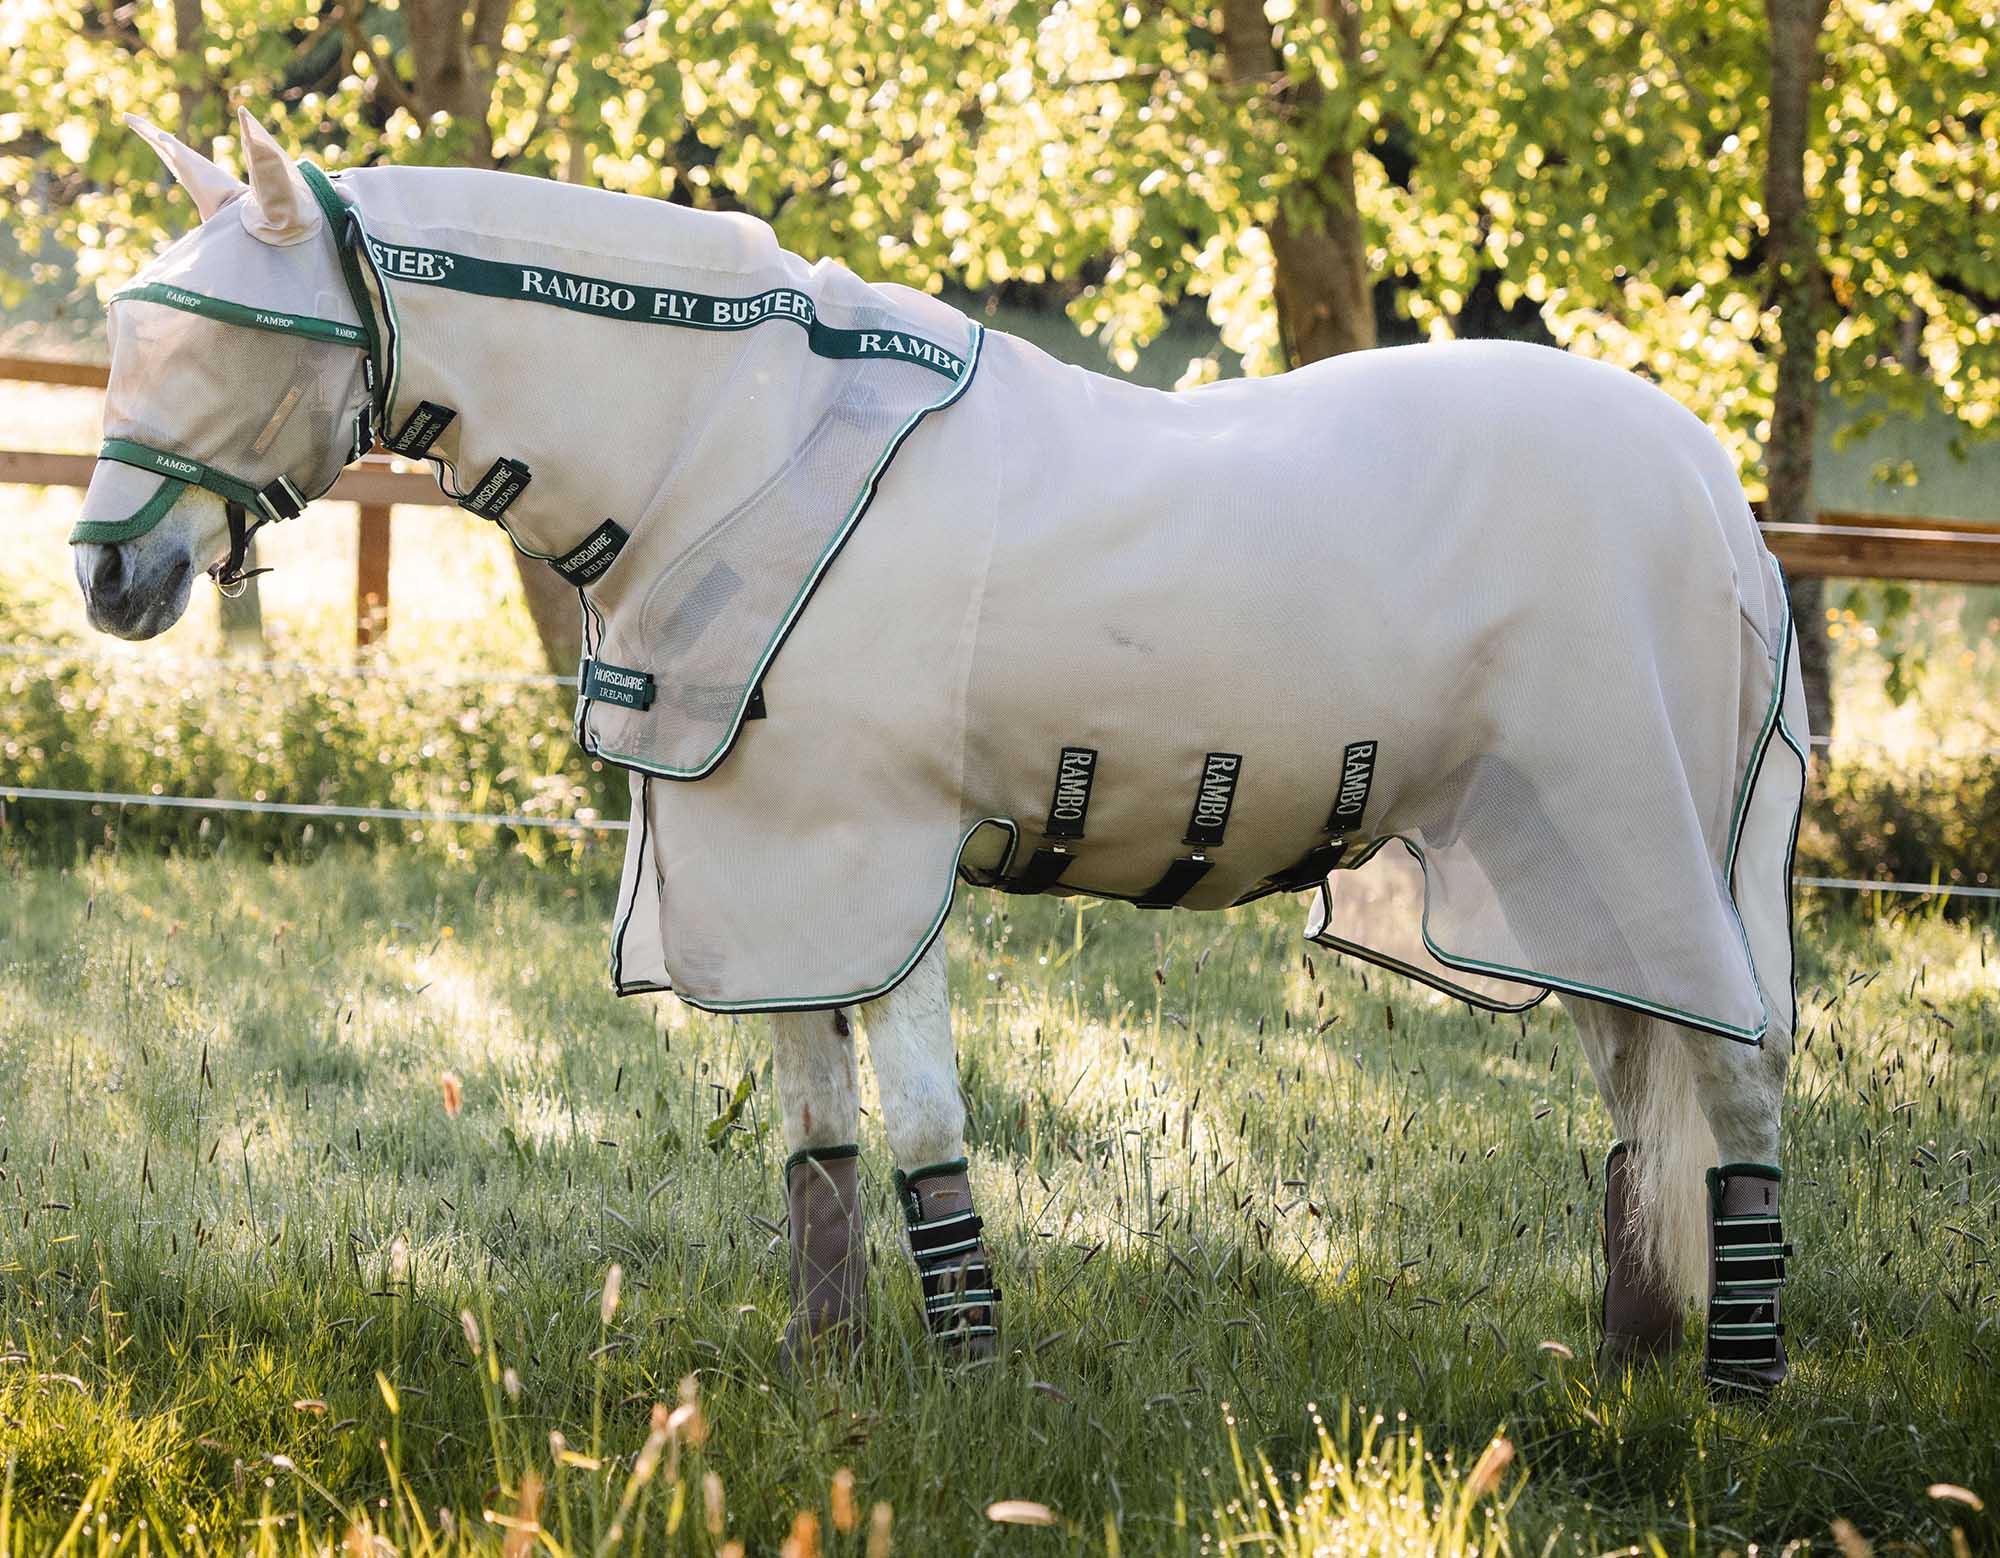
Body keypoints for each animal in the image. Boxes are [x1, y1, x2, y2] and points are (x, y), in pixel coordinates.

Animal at [72, 107, 1807, 1389]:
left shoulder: (872, 860)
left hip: (1643, 845)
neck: (743, 454)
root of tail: (1710, 488)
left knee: (1736, 1081)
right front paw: (829, 1364)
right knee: (1639, 1089)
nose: (107, 576)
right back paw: (1636, 1349)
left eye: (233, 338)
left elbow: (919, 1123)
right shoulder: (763, 873)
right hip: (1558, 870)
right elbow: (817, 1136)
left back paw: (1738, 1383)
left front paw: (970, 1377)